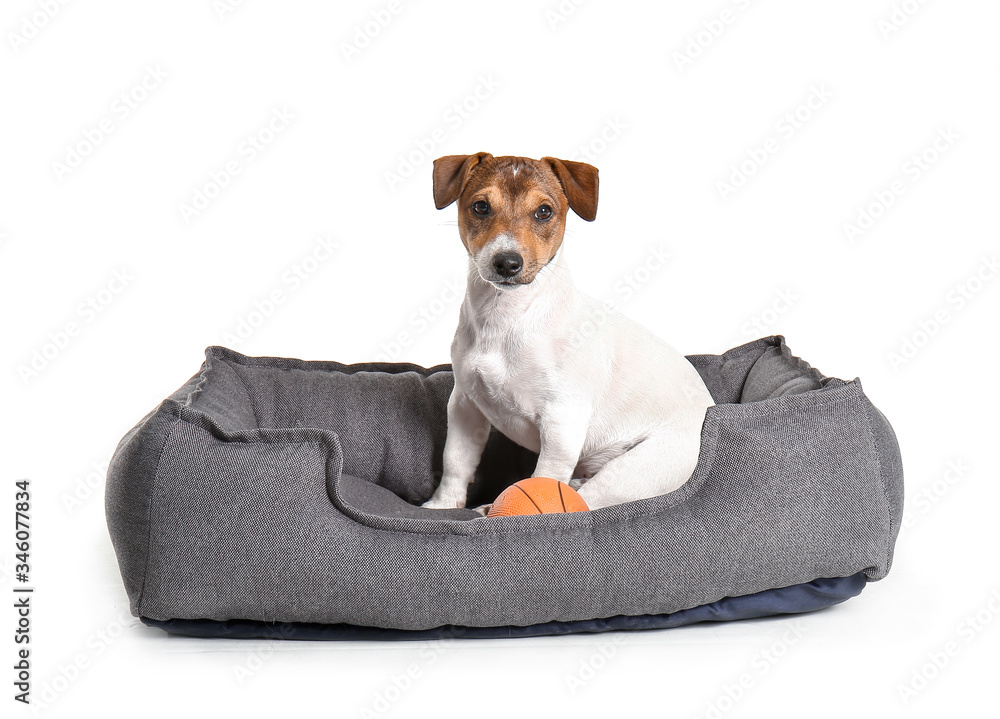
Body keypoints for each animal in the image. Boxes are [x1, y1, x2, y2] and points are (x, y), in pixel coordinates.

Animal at [420, 153, 712, 512]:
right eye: (481, 207)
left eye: (544, 211)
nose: (507, 262)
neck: (508, 317)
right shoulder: (465, 405)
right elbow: (455, 460)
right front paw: (442, 505)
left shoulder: (562, 420)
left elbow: (546, 474)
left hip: (634, 472)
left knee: (588, 500)